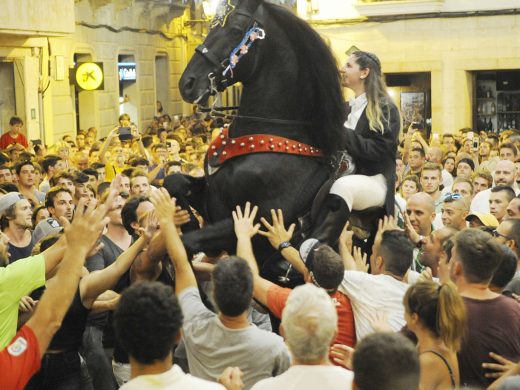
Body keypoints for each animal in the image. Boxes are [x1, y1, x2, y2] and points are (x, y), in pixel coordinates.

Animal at [177, 0, 348, 280]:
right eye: (211, 26)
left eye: (236, 28)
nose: (187, 83)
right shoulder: (210, 201)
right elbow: (174, 181)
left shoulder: (252, 224)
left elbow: (187, 242)